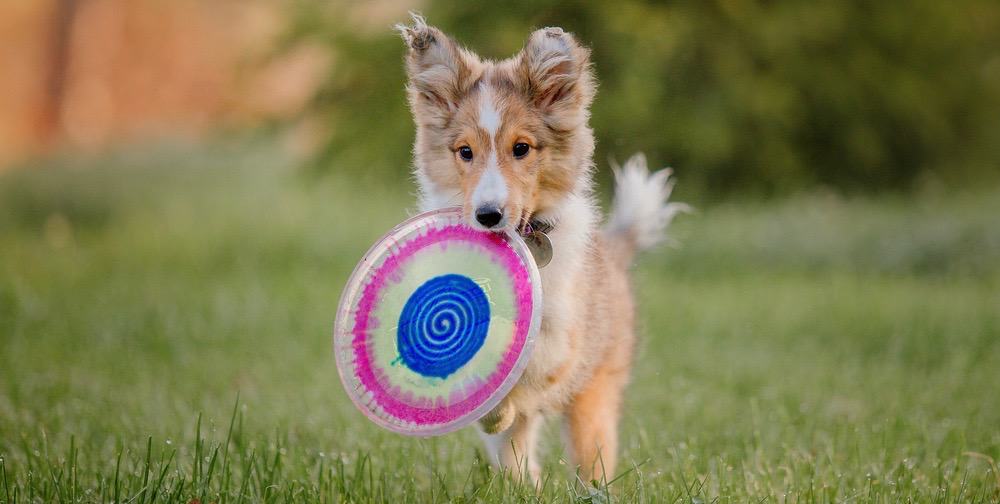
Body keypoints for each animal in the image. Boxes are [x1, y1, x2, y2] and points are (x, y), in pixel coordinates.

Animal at [394, 12, 684, 484]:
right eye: (465, 152)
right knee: (516, 453)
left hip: (594, 396)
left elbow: (518, 349)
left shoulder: (560, 335)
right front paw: (488, 408)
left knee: (591, 456)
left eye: (522, 148)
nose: (488, 215)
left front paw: (498, 401)